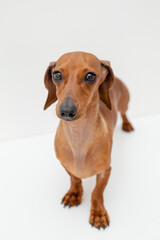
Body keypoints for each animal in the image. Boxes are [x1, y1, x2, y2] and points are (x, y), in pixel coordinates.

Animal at [43, 51, 134, 230]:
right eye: (57, 75)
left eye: (90, 76)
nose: (66, 111)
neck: (78, 137)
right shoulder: (65, 165)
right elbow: (75, 179)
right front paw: (74, 194)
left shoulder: (106, 171)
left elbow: (96, 192)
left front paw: (98, 213)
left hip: (124, 105)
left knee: (124, 113)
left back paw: (127, 124)